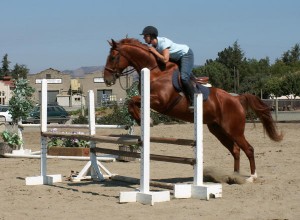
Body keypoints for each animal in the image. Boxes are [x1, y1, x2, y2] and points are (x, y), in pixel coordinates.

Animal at [102, 37, 282, 182]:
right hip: (218, 130)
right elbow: (131, 102)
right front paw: (144, 119)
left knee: (248, 149)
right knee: (235, 150)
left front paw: (147, 120)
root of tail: (236, 99)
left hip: (234, 130)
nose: (106, 79)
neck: (155, 70)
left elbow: (132, 101)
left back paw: (252, 177)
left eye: (113, 57)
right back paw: (234, 176)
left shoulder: (160, 101)